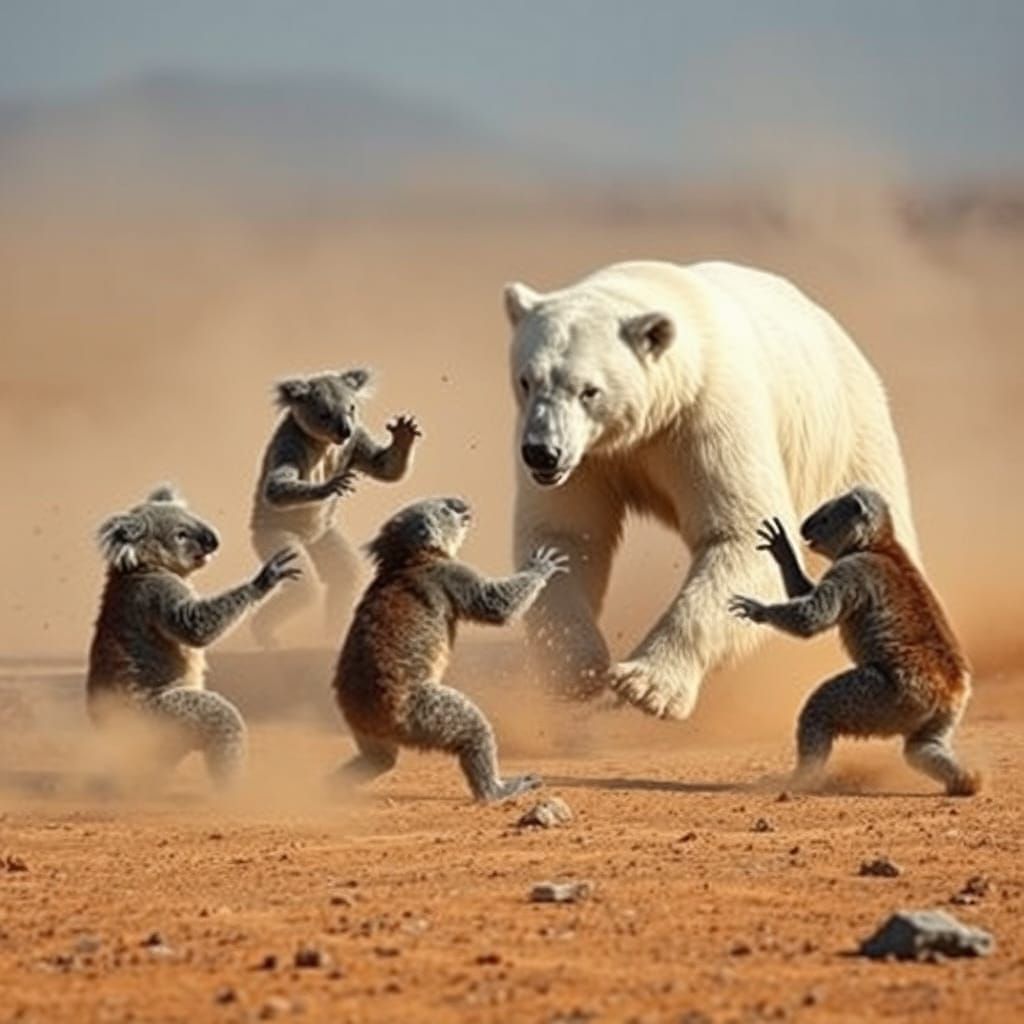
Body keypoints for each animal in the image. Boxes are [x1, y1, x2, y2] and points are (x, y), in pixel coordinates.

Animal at [504, 259, 918, 721]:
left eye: (589, 390)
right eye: (526, 380)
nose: (542, 453)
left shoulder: (707, 416)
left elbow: (742, 534)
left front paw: (646, 686)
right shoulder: (593, 458)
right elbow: (566, 535)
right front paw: (576, 672)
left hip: (845, 438)